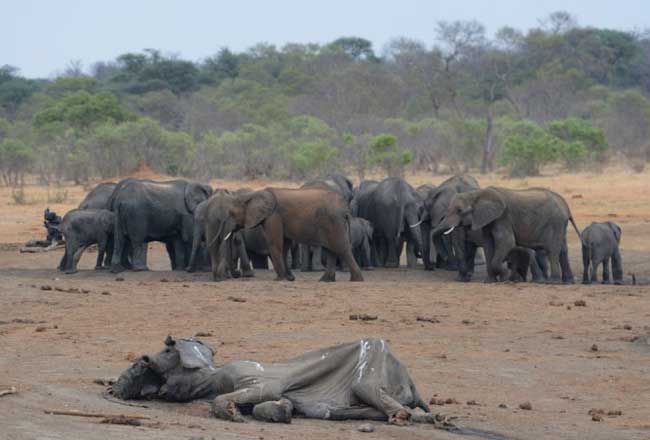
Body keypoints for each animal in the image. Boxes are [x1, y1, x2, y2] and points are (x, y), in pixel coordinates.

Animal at [110, 336, 450, 426]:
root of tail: (412, 383)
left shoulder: (247, 374)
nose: (112, 387)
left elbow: (257, 392)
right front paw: (281, 412)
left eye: (166, 349)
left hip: (372, 367)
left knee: (373, 391)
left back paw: (403, 417)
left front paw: (233, 413)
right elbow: (274, 404)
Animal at [228, 186, 362, 282]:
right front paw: (289, 278)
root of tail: (345, 209)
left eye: (231, 214)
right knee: (332, 250)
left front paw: (279, 279)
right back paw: (326, 280)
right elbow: (285, 245)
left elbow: (275, 244)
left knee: (341, 248)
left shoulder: (273, 216)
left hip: (333, 222)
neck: (254, 194)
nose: (237, 274)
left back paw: (356, 280)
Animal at [432, 186, 580, 284]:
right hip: (560, 225)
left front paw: (506, 277)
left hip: (555, 222)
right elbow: (489, 244)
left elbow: (506, 241)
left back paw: (551, 282)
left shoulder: (502, 217)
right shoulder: (487, 219)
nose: (444, 260)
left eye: (459, 210)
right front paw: (489, 281)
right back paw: (568, 282)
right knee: (562, 250)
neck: (476, 194)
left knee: (553, 250)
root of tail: (566, 207)